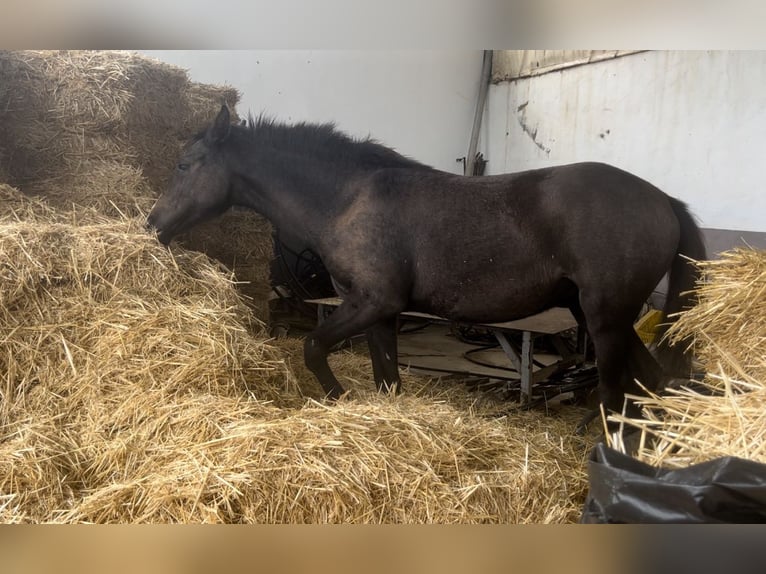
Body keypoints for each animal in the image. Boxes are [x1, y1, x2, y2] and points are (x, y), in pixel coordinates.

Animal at [148, 104, 708, 418]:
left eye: (184, 164)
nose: (154, 223)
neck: (347, 198)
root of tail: (665, 201)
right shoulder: (379, 313)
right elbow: (387, 378)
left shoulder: (372, 303)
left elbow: (312, 347)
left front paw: (336, 399)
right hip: (600, 316)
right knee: (653, 383)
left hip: (605, 319)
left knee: (617, 394)